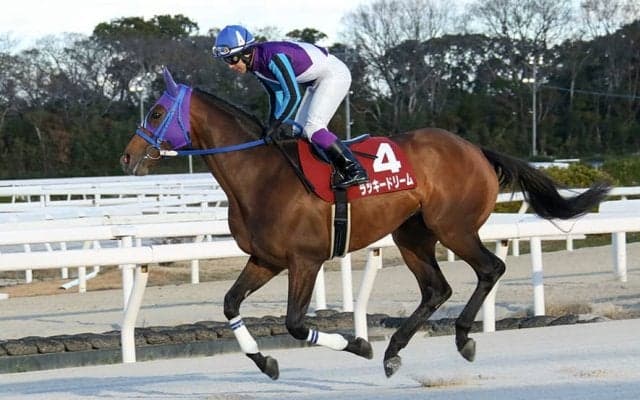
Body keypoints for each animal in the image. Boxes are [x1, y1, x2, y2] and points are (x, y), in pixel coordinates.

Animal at [120, 68, 610, 380]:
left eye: (157, 113)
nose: (127, 158)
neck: (259, 174)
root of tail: (475, 149)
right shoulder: (265, 259)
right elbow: (229, 305)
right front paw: (267, 363)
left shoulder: (305, 260)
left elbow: (295, 323)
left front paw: (358, 344)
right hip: (411, 234)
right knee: (436, 289)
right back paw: (394, 353)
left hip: (453, 227)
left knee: (490, 269)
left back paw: (461, 338)